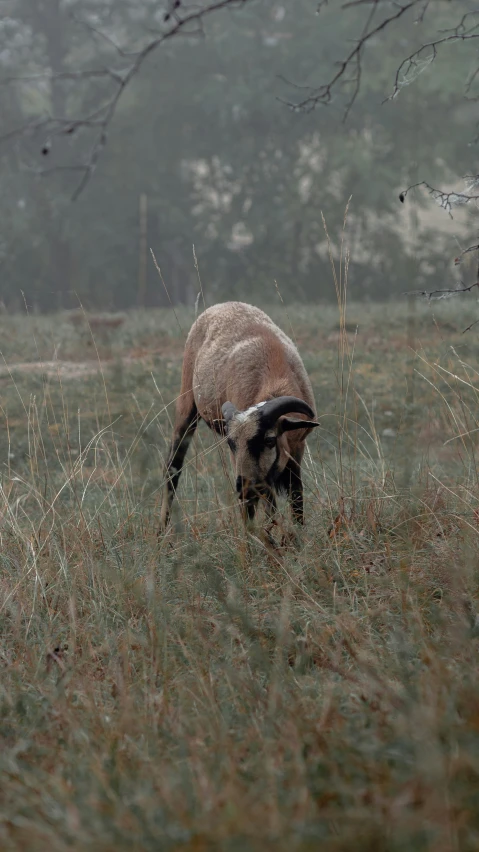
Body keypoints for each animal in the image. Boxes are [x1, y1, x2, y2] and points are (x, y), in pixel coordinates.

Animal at [159, 302, 320, 532]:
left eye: (269, 440)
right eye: (231, 442)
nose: (243, 486)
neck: (275, 377)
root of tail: (220, 305)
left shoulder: (296, 451)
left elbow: (296, 499)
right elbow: (263, 508)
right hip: (186, 404)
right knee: (172, 468)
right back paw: (161, 530)